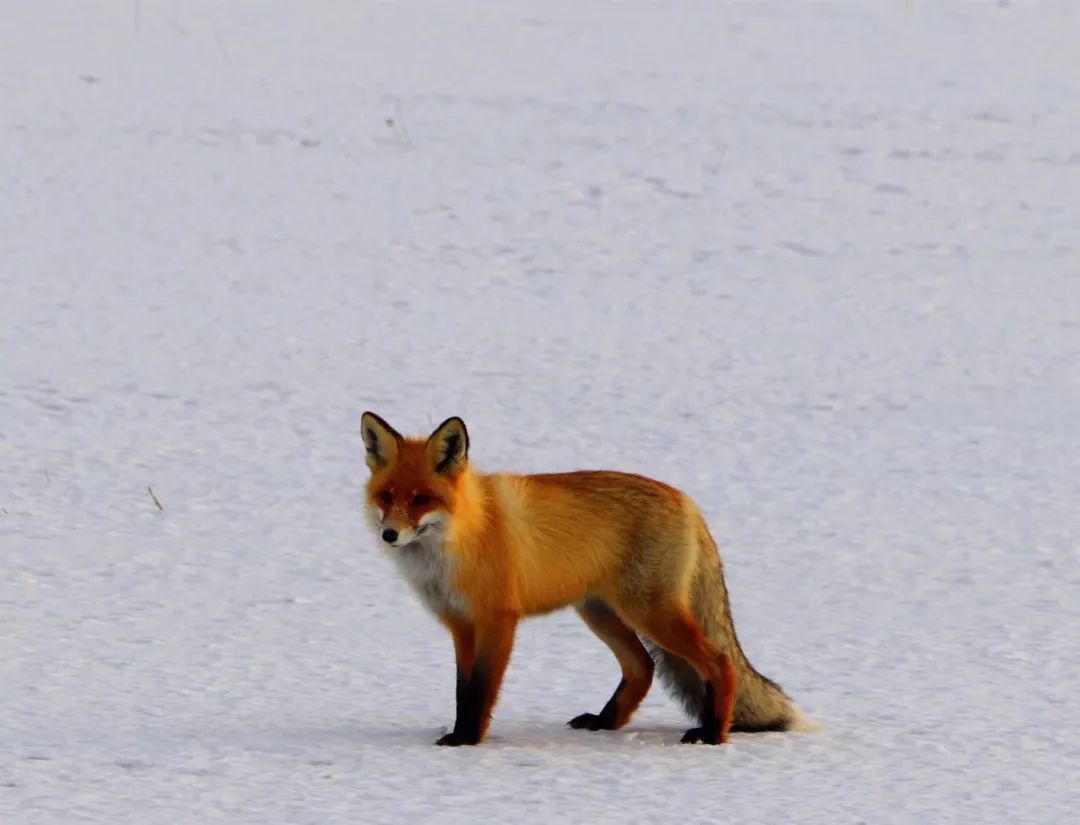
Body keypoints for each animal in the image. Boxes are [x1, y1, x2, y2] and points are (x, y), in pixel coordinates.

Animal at [358, 412, 812, 747]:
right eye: (387, 496)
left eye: (421, 499)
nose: (389, 535)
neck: (462, 536)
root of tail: (687, 501)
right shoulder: (461, 626)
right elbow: (461, 691)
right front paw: (458, 735)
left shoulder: (497, 620)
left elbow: (481, 691)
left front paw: (467, 742)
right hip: (601, 612)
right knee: (643, 667)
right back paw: (605, 722)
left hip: (650, 614)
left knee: (720, 662)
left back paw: (714, 734)